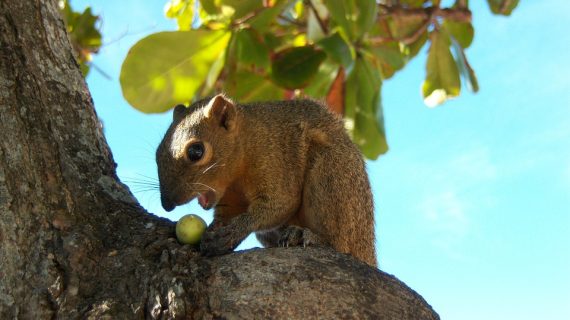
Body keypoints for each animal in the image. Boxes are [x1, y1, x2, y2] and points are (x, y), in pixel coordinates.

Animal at [155, 94, 378, 268]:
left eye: (196, 151)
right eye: (157, 153)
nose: (166, 204)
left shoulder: (276, 161)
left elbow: (278, 205)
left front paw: (233, 232)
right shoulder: (230, 200)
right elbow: (226, 216)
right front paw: (214, 231)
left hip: (332, 178)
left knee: (337, 243)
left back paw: (306, 236)